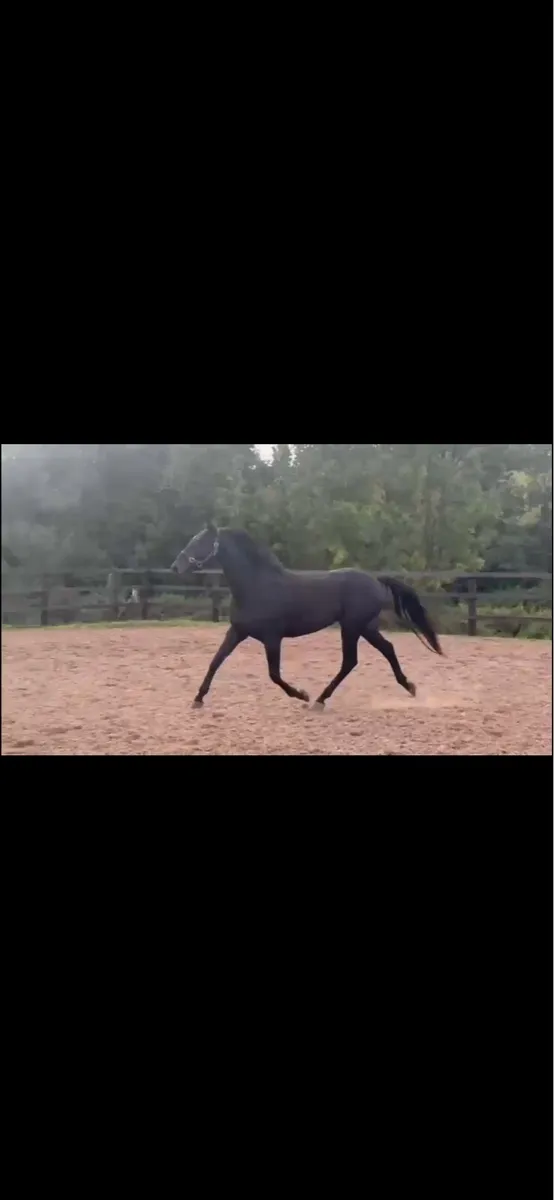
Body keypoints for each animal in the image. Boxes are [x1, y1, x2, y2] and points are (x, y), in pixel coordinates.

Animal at [170, 523, 443, 709]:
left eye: (199, 541)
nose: (175, 566)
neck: (257, 586)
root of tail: (375, 580)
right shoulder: (237, 631)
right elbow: (215, 661)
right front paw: (198, 699)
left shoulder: (272, 637)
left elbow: (274, 674)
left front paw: (302, 695)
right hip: (365, 627)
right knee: (387, 649)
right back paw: (410, 687)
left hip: (352, 626)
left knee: (350, 661)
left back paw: (319, 700)